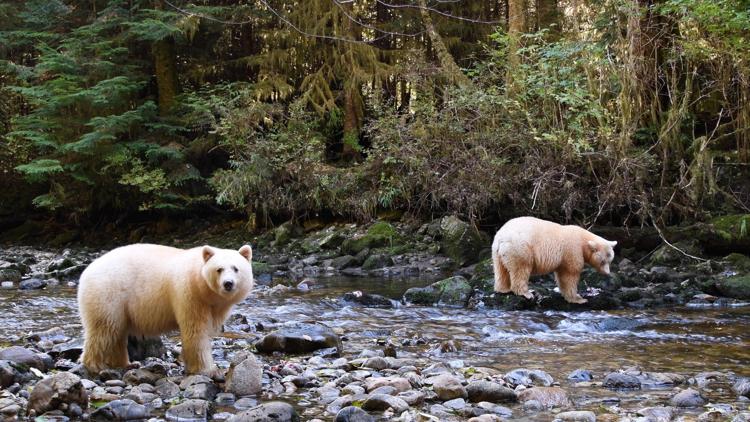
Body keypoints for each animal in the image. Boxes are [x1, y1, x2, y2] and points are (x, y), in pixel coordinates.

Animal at [76, 244, 254, 376]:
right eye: (219, 269)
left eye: (236, 268)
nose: (228, 283)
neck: (202, 288)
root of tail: (87, 271)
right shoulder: (189, 295)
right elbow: (196, 331)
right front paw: (207, 369)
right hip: (108, 293)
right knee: (103, 329)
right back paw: (95, 365)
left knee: (117, 332)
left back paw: (124, 363)